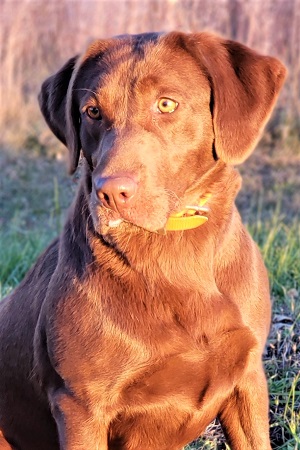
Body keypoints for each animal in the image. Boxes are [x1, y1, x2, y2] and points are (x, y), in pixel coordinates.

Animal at [0, 32, 286, 450]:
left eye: (166, 104)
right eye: (92, 112)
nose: (110, 193)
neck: (173, 254)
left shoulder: (247, 380)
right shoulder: (81, 406)